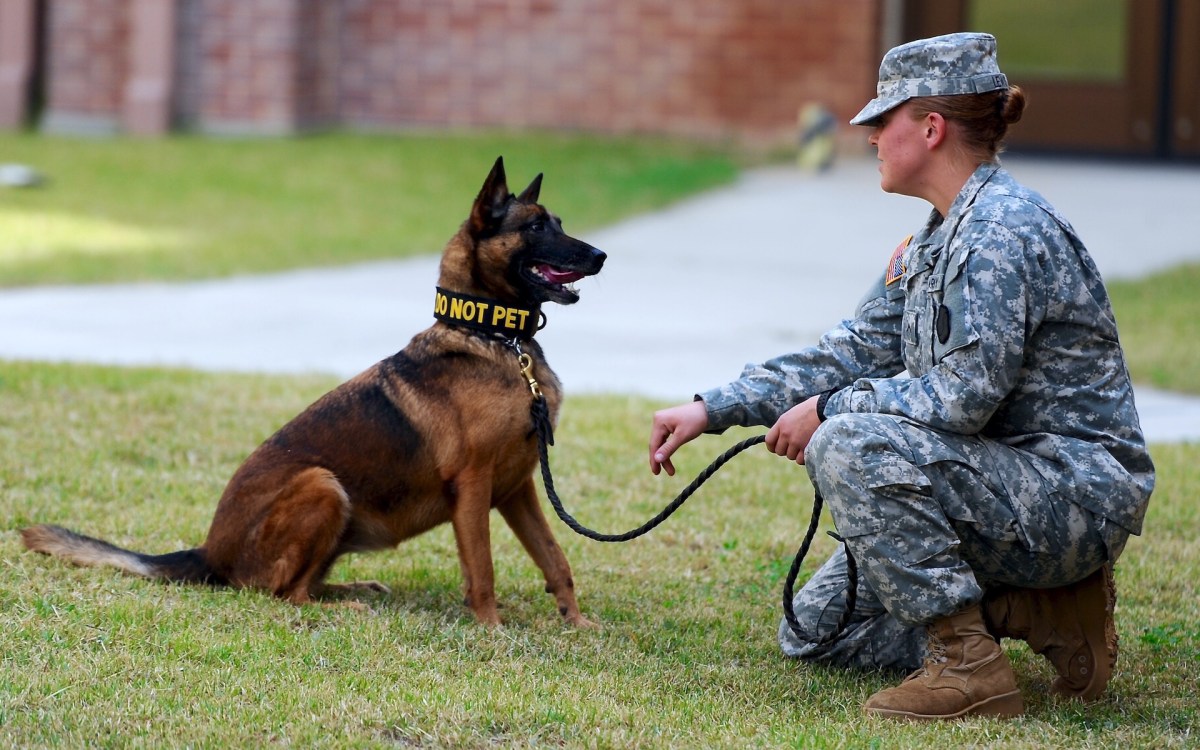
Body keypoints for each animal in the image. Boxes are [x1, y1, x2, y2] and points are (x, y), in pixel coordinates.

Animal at [18, 156, 600, 624]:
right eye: (535, 226)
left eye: (560, 223)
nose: (601, 256)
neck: (493, 336)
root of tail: (208, 553)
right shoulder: (475, 487)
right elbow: (483, 569)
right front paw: (491, 630)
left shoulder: (517, 488)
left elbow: (556, 558)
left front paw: (576, 625)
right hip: (322, 484)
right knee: (282, 593)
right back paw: (346, 608)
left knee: (302, 585)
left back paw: (355, 590)